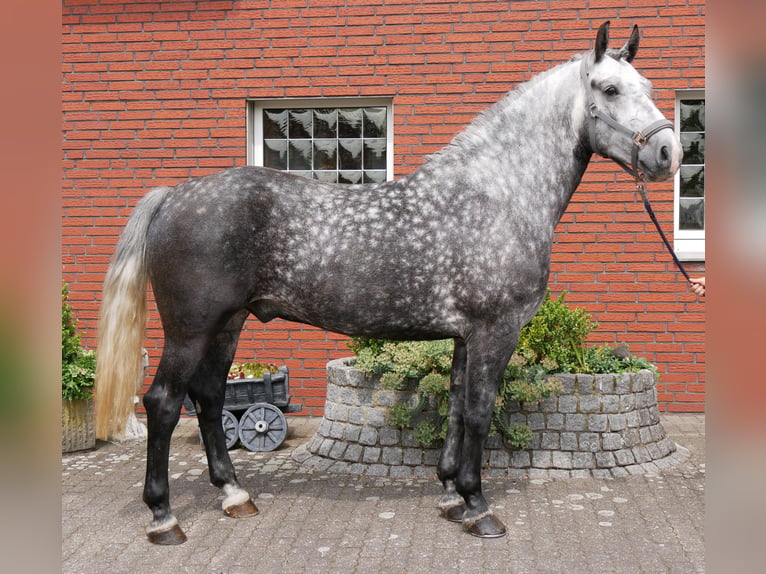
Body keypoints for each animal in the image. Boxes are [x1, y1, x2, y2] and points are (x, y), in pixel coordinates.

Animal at [95, 21, 682, 543]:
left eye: (651, 88)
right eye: (610, 89)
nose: (667, 154)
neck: (497, 195)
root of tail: (175, 194)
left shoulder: (465, 335)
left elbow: (456, 406)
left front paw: (451, 496)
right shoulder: (496, 330)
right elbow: (479, 412)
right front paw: (479, 507)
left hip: (228, 324)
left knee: (210, 397)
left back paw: (234, 494)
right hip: (190, 330)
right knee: (164, 403)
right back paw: (164, 517)